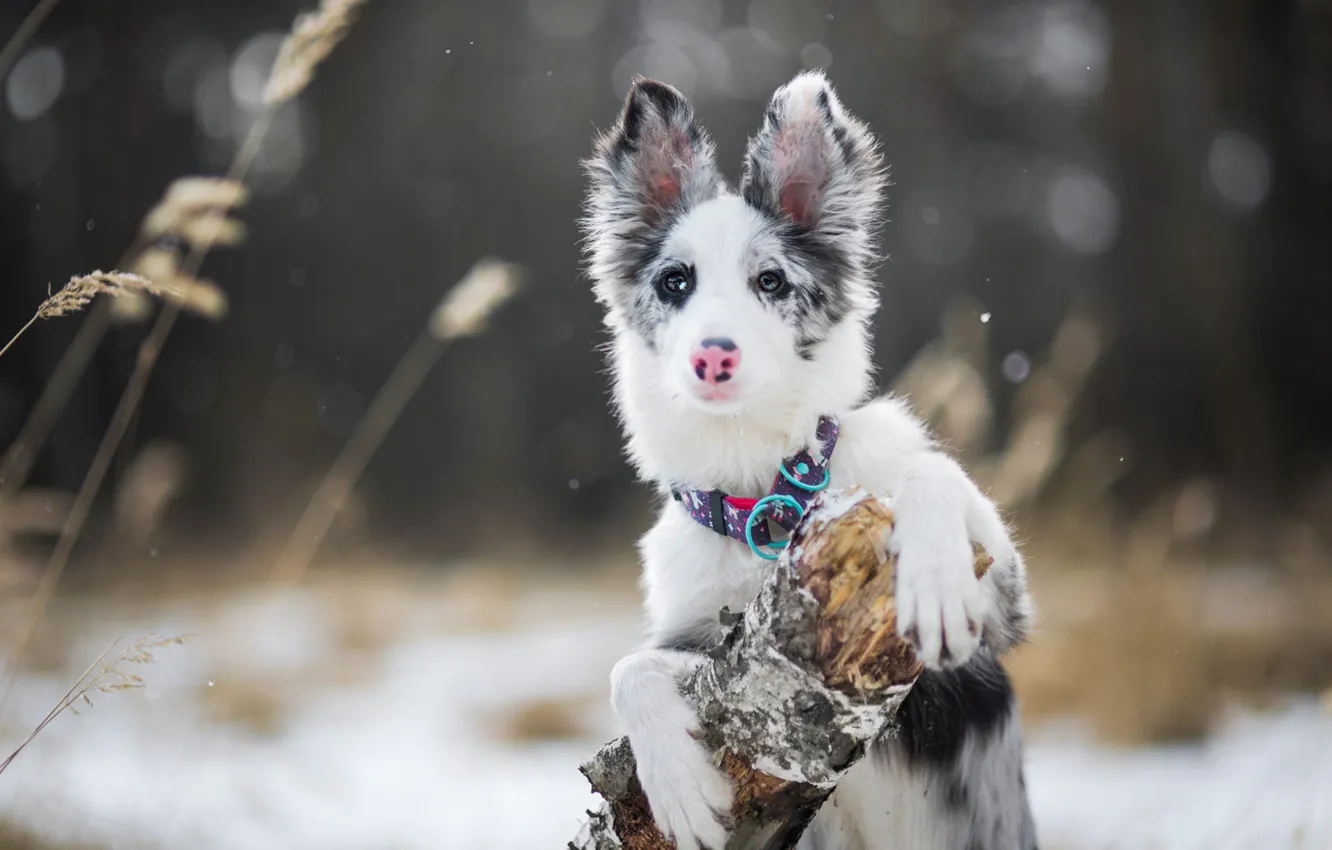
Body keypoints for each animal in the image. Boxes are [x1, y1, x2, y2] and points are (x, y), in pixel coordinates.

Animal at [583, 73, 1038, 850]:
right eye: (676, 282)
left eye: (770, 282)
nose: (713, 357)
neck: (765, 496)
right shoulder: (718, 647)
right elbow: (629, 664)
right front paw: (680, 788)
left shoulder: (1002, 618)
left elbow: (929, 471)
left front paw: (935, 579)